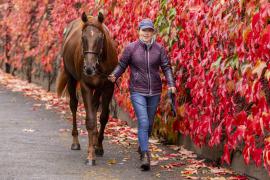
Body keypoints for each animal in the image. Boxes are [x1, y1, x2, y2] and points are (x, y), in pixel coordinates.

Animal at [55, 11, 117, 165]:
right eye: (83, 38)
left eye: (100, 38)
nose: (89, 68)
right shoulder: (86, 86)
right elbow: (90, 120)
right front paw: (90, 156)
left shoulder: (108, 86)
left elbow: (103, 116)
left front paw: (98, 147)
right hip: (71, 78)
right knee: (74, 106)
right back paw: (75, 142)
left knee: (94, 107)